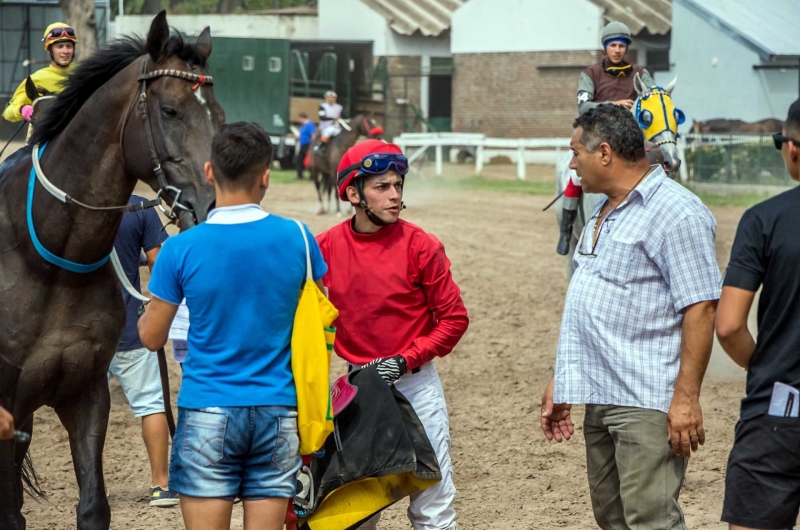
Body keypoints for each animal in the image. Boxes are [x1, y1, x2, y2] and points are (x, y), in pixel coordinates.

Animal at [0, 13, 222, 528]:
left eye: (218, 115)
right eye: (170, 111)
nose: (212, 207)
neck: (49, 259)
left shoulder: (84, 392)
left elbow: (93, 506)